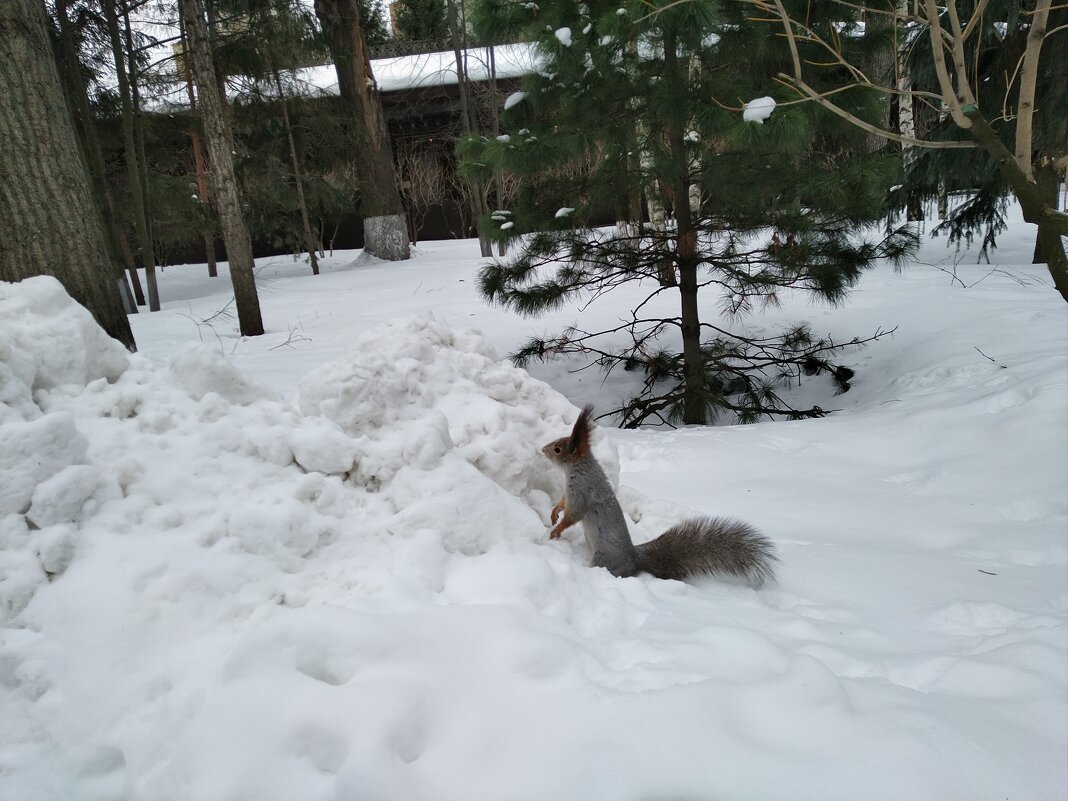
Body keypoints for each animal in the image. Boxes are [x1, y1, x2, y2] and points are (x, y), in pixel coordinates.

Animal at [542, 407, 777, 589]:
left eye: (558, 449)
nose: (542, 449)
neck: (578, 468)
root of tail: (634, 557)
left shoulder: (582, 492)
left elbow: (573, 515)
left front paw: (555, 531)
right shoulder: (570, 492)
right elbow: (562, 503)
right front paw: (554, 513)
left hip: (604, 559)